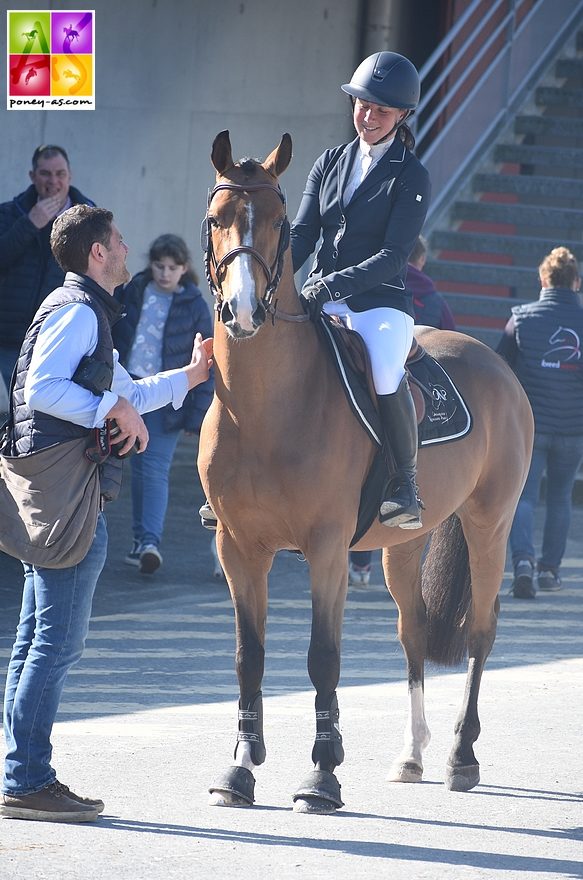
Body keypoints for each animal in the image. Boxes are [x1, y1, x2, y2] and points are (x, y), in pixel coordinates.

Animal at [198, 129, 536, 812]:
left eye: (279, 224)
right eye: (216, 219)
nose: (243, 311)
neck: (264, 408)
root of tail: (495, 360)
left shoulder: (327, 548)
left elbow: (323, 658)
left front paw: (322, 776)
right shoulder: (237, 546)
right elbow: (250, 658)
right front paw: (240, 769)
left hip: (490, 524)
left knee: (481, 634)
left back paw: (461, 757)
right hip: (401, 546)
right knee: (412, 633)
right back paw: (412, 756)